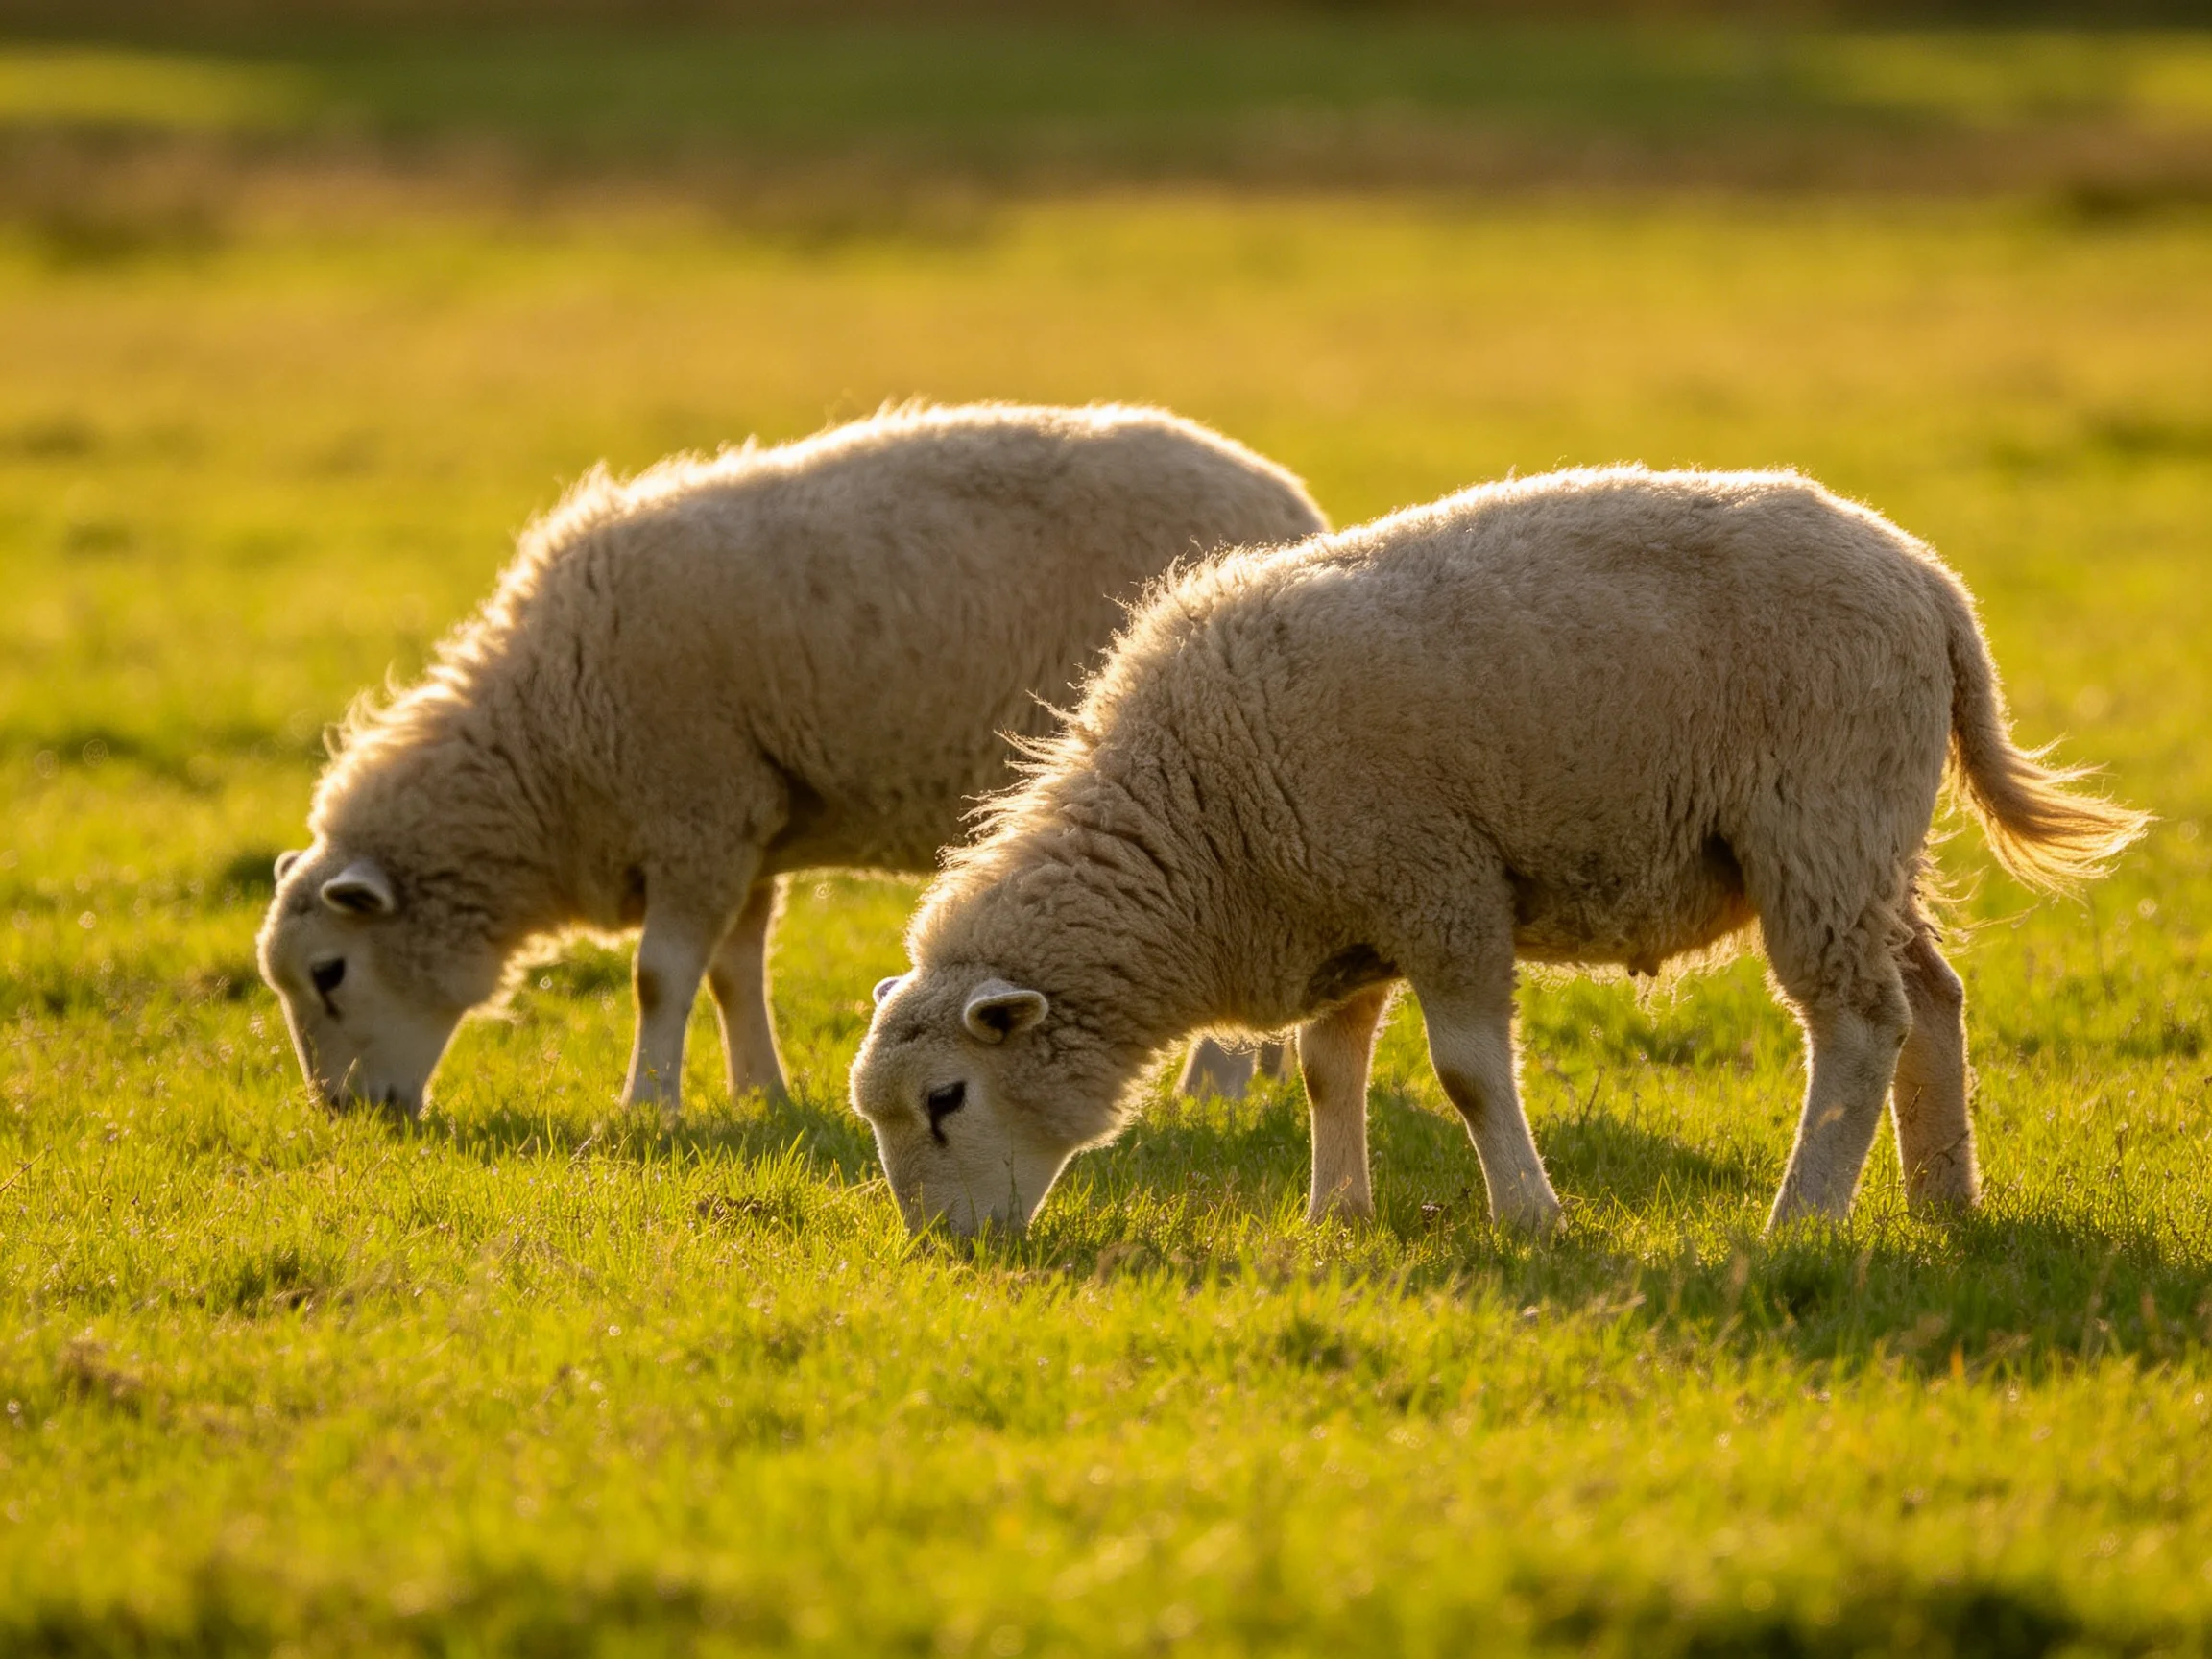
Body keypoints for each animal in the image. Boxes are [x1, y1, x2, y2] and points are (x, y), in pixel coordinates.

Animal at [257, 402, 1324, 1116]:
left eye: (329, 973)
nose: (344, 1113)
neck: (545, 745)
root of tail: (1294, 506)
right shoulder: (745, 825)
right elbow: (736, 972)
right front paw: (758, 1093)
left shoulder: (694, 808)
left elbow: (659, 976)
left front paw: (648, 1107)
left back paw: (1212, 1091)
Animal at [852, 465, 2146, 1238]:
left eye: (947, 1099)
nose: (949, 1253)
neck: (1198, 828)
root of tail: (1930, 585)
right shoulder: (1351, 911)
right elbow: (1327, 1070)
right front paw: (1337, 1218)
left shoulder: (1441, 887)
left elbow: (1470, 1075)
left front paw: (1531, 1219)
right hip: (1871, 837)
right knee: (1932, 998)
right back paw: (1943, 1201)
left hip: (1818, 821)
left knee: (1860, 1023)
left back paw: (1804, 1218)